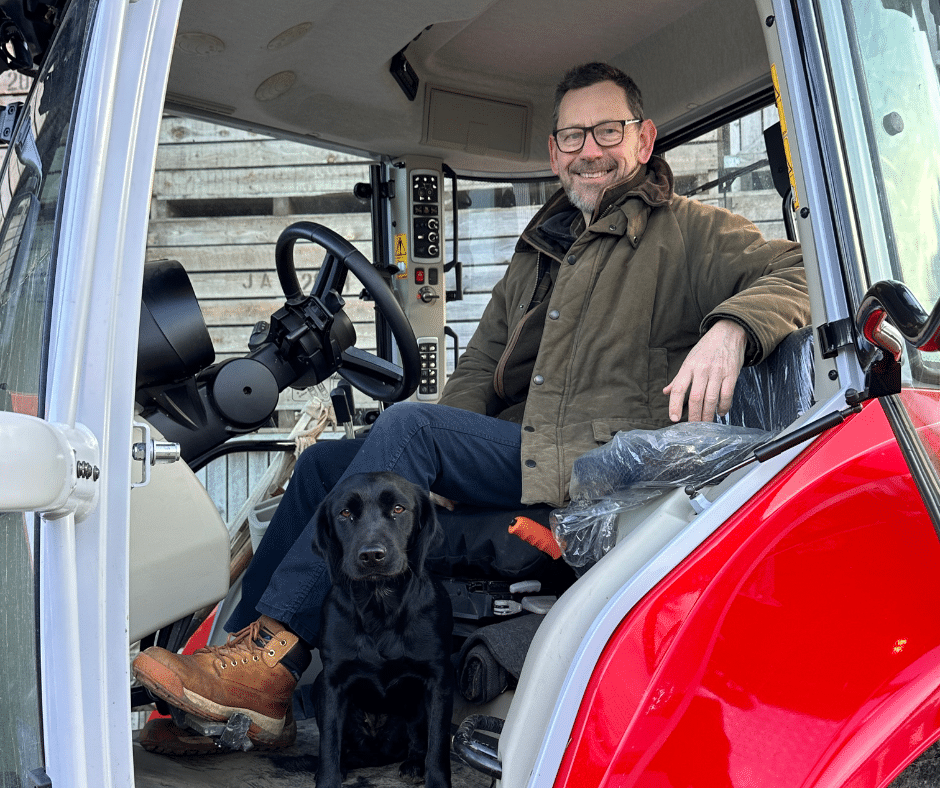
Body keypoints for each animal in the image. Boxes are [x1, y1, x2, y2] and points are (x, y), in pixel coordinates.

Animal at [310, 470, 454, 788]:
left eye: (398, 509)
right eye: (345, 513)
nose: (372, 555)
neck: (379, 603)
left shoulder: (439, 680)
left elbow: (438, 745)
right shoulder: (331, 681)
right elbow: (329, 743)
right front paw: (328, 778)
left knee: (419, 743)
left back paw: (413, 765)